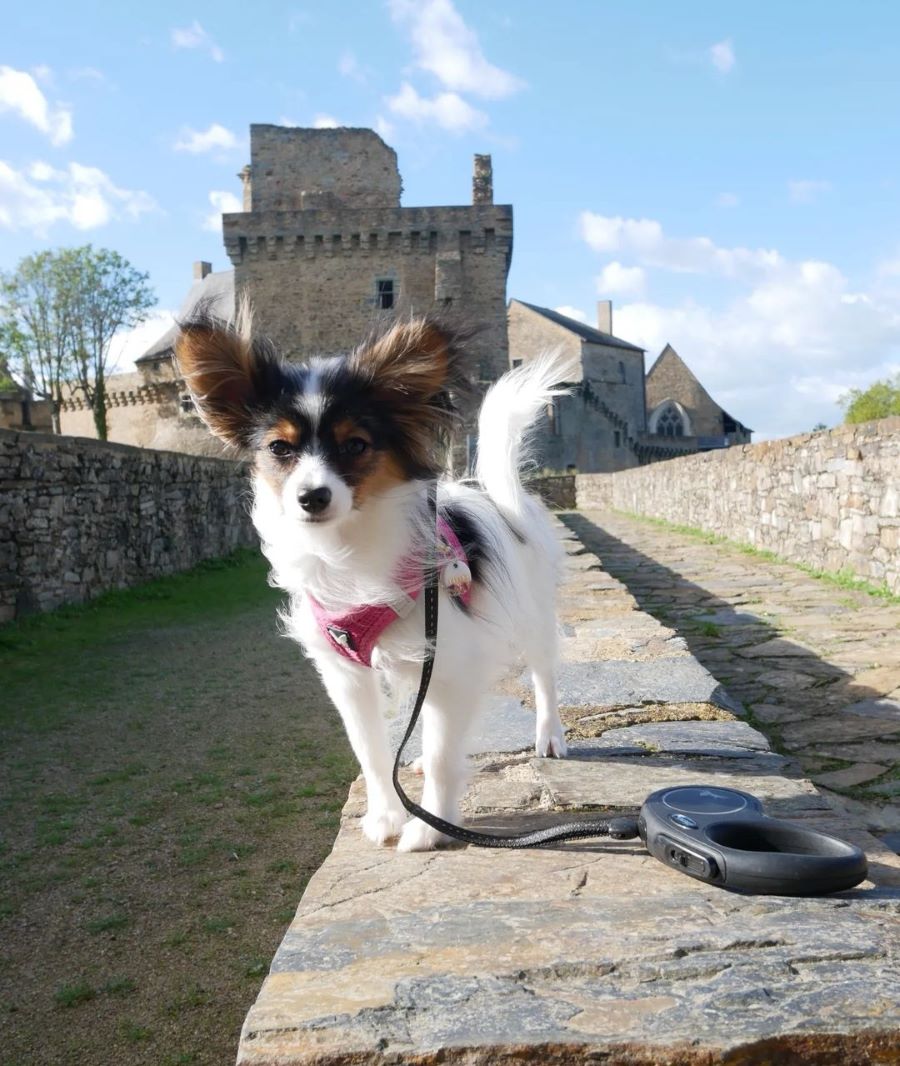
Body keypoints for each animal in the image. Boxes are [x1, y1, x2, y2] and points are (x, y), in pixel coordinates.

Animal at [175, 311, 571, 852]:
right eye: (279, 449)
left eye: (355, 446)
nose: (312, 497)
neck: (348, 548)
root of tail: (499, 496)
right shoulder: (345, 671)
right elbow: (370, 748)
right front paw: (386, 815)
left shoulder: (452, 656)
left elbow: (446, 756)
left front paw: (429, 828)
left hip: (532, 616)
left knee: (544, 672)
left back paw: (549, 735)